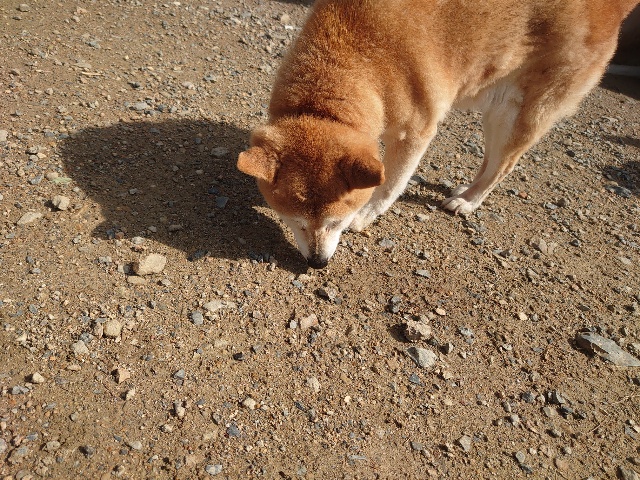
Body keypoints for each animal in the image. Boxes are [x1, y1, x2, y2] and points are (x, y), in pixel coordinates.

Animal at [238, 0, 638, 269]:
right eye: (296, 222)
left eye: (337, 222)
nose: (318, 263)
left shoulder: (416, 130)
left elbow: (392, 183)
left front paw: (365, 215)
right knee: (490, 161)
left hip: (517, 112)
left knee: (502, 165)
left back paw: (468, 202)